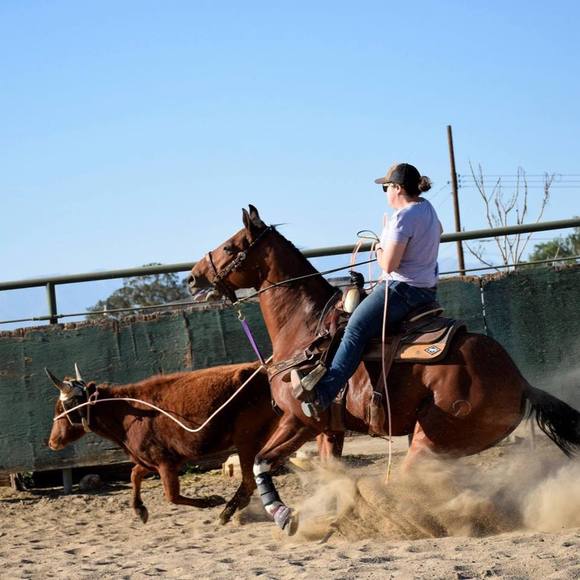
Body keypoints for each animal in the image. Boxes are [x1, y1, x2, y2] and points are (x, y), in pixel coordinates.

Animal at [47, 362, 284, 520]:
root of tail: (261, 369)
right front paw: (139, 509)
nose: (52, 442)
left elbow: (171, 495)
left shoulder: (164, 462)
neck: (128, 413)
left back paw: (227, 512)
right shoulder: (152, 459)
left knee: (249, 479)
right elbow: (134, 474)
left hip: (247, 439)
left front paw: (211, 500)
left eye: (63, 407)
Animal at [189, 206, 580, 536]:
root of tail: (520, 380)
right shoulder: (328, 430)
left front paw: (285, 515)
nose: (193, 278)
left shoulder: (299, 419)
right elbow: (324, 472)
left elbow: (260, 461)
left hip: (431, 438)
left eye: (230, 246)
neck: (305, 328)